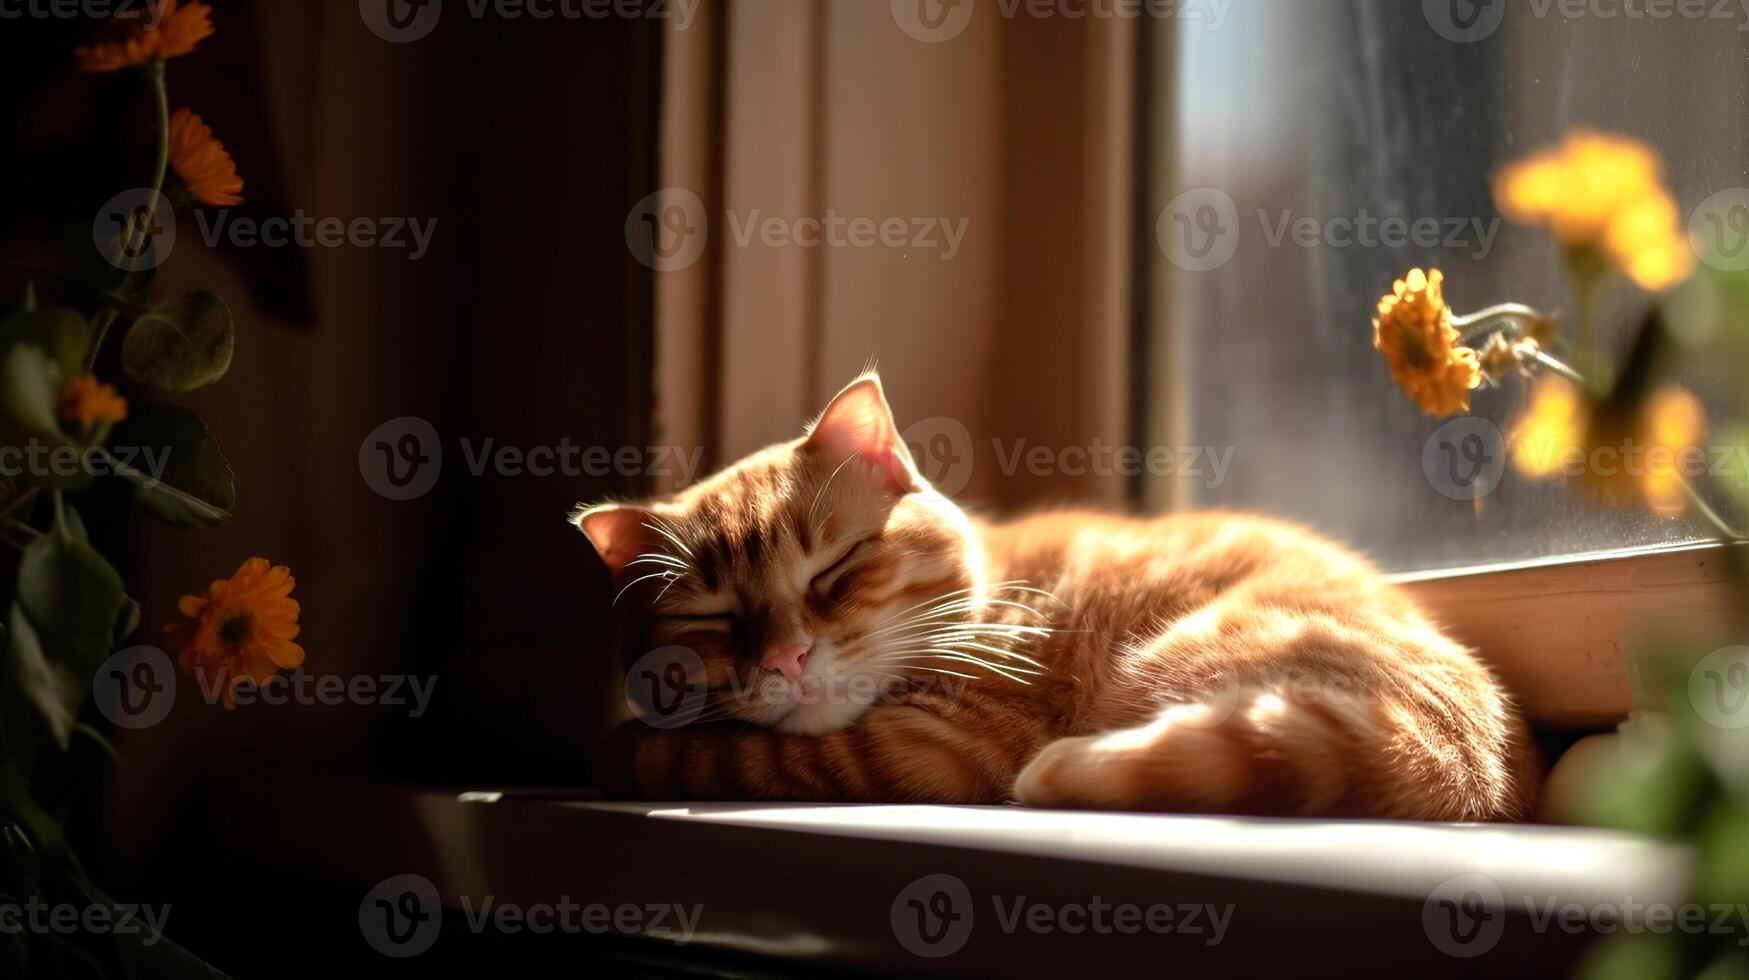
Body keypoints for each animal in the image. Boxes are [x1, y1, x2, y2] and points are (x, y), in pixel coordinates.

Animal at [580, 374, 1539, 819]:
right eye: (715, 619)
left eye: (834, 570)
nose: (785, 657)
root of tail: (1461, 759)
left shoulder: (931, 747)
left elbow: (716, 753)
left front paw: (626, 748)